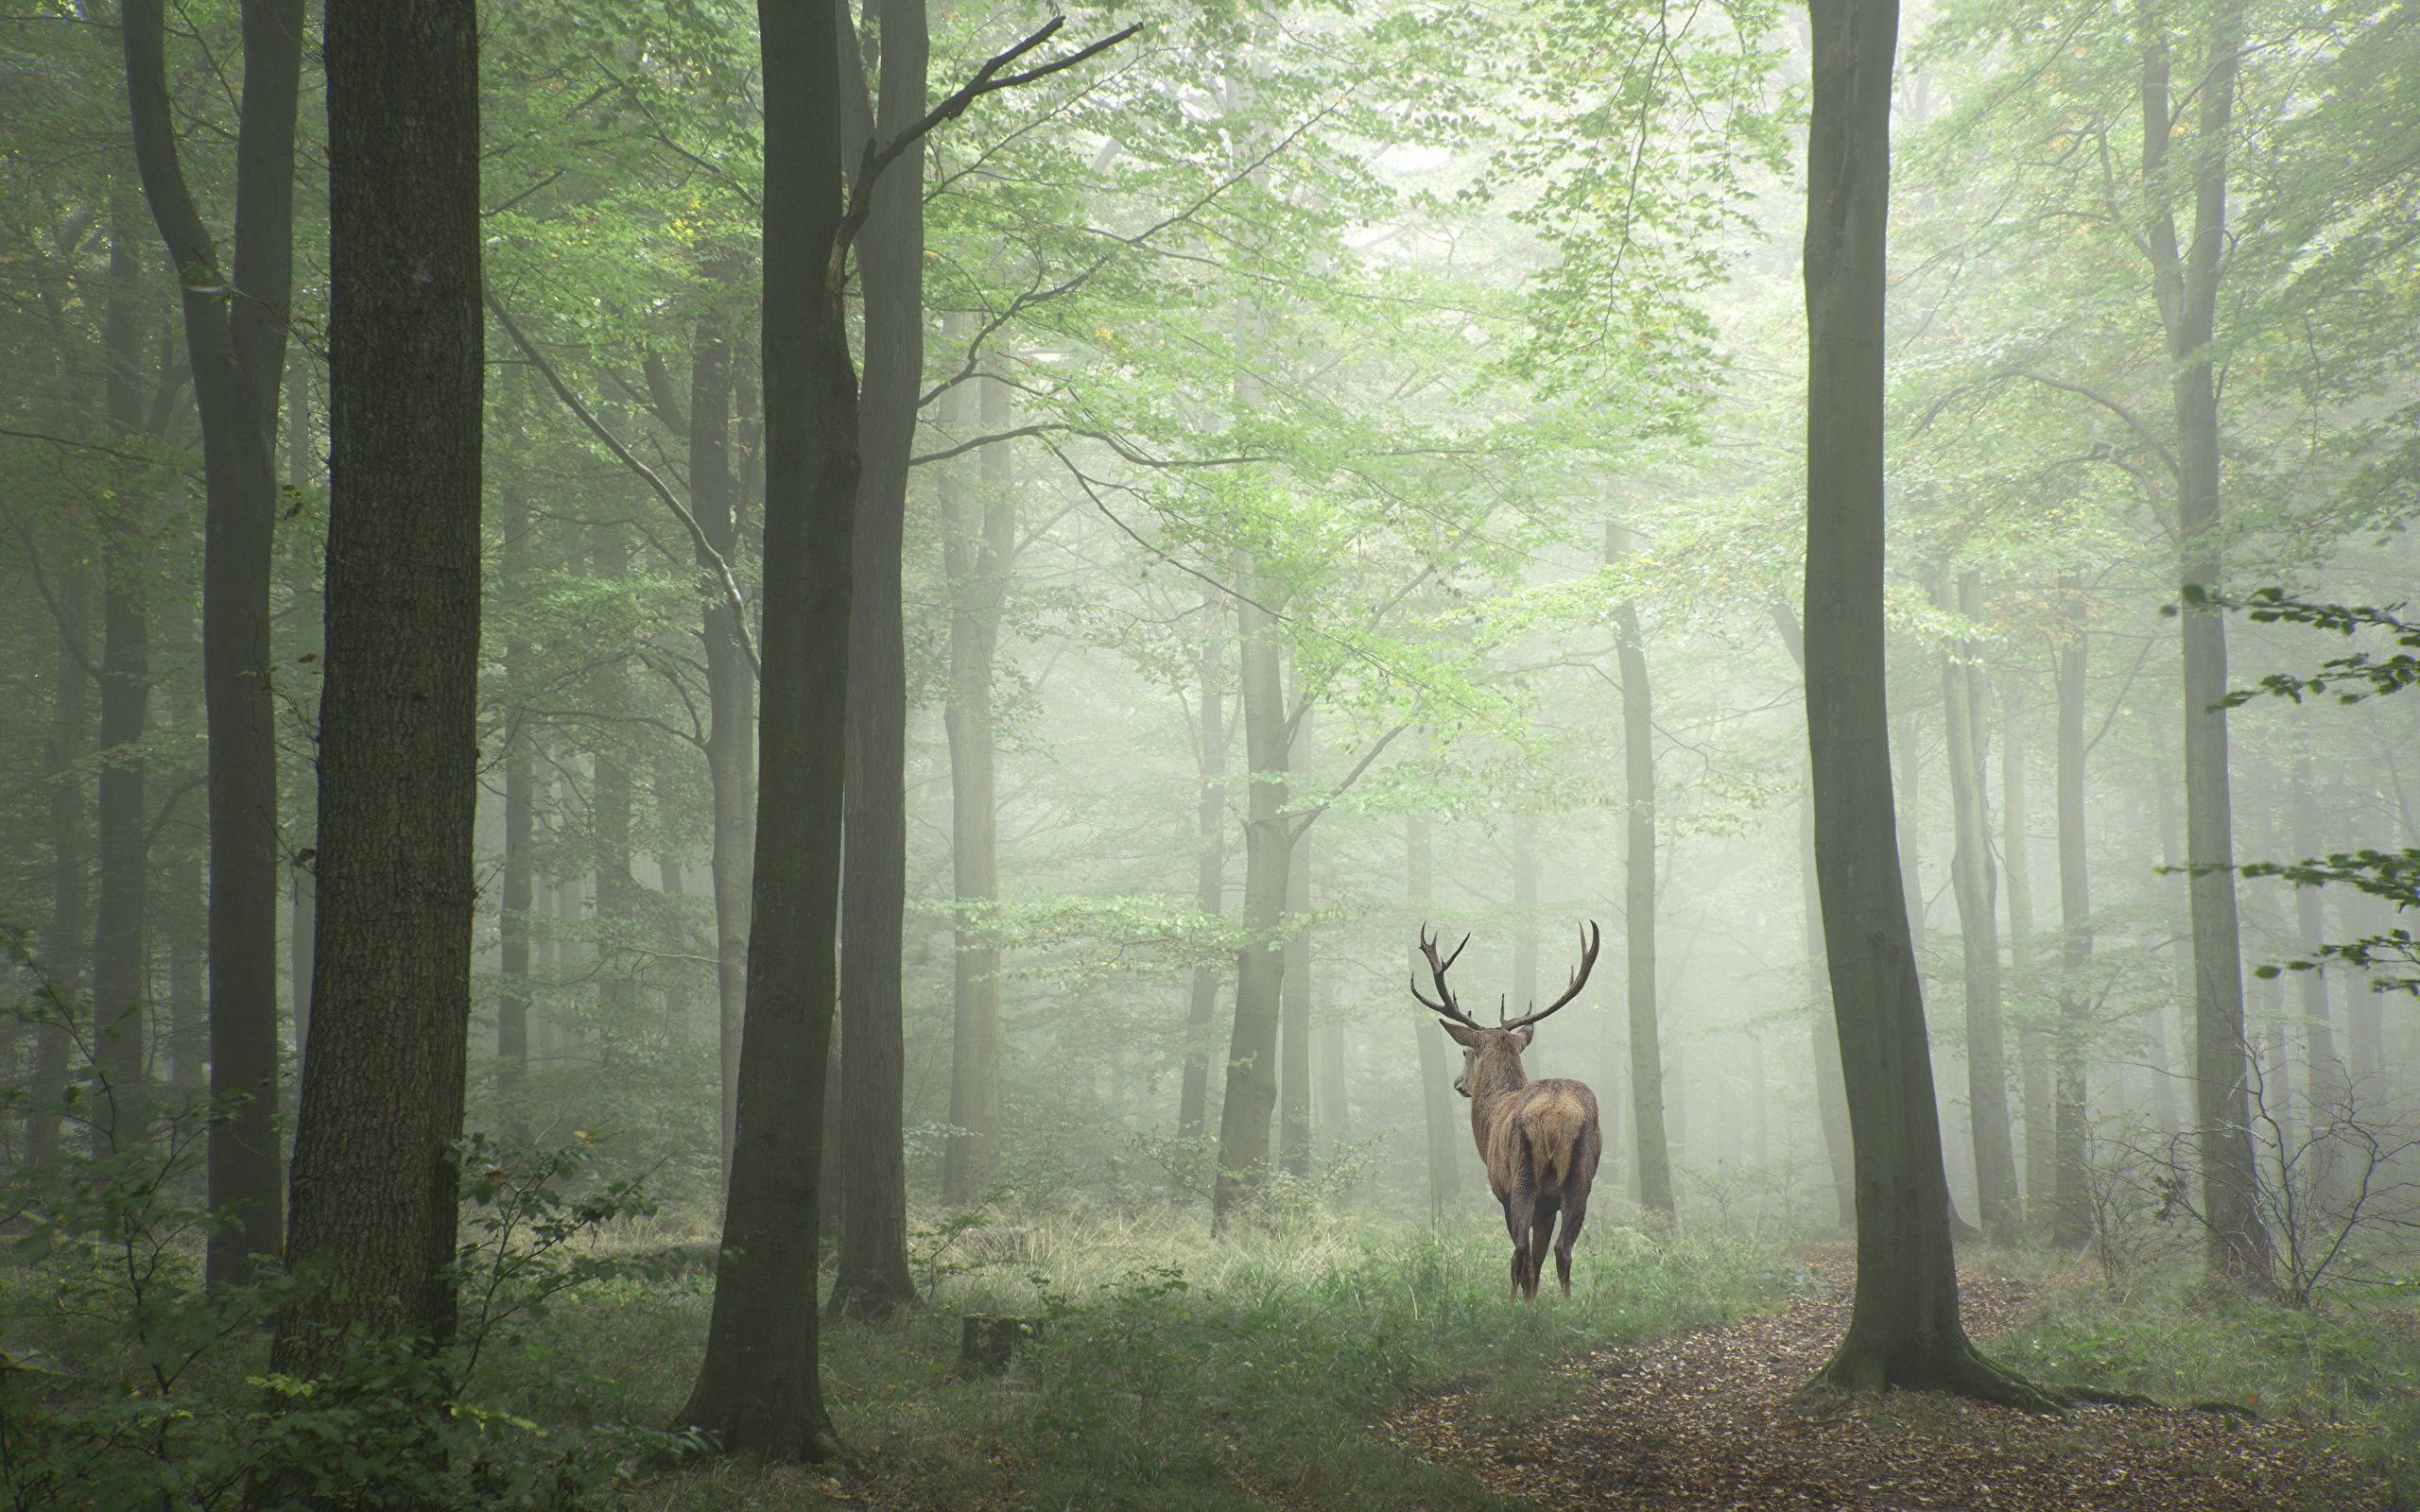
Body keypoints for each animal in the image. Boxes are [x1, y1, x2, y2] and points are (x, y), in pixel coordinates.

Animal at [1411, 921, 1604, 1301]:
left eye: (1465, 1053)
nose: (1458, 1084)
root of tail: (1555, 1118)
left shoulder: (1500, 1188)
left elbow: (1524, 1255)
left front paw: (1523, 1303)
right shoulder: (1547, 1206)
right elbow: (1539, 1258)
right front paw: (1535, 1302)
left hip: (1522, 1177)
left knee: (1519, 1252)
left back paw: (1513, 1306)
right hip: (1581, 1177)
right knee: (1562, 1250)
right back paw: (1567, 1305)